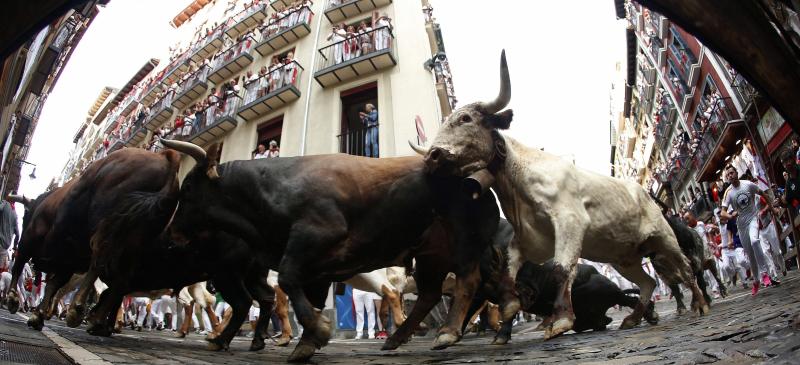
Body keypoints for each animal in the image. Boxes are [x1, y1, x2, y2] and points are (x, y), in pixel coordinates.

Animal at [161, 139, 500, 362]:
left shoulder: (313, 236)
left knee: (468, 282)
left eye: (187, 188)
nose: (170, 233)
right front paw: (306, 343)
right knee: (430, 294)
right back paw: (396, 338)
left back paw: (450, 332)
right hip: (430, 256)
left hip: (463, 241)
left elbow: (288, 279)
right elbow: (306, 297)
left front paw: (318, 332)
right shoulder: (316, 272)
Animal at [416, 52, 708, 342]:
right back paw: (633, 319)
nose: (432, 155)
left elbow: (561, 268)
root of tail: (642, 193)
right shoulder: (529, 240)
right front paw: (510, 304)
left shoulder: (570, 223)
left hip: (664, 238)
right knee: (648, 282)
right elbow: (509, 267)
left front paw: (561, 320)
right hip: (623, 257)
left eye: (465, 119)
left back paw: (699, 304)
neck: (518, 185)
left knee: (685, 268)